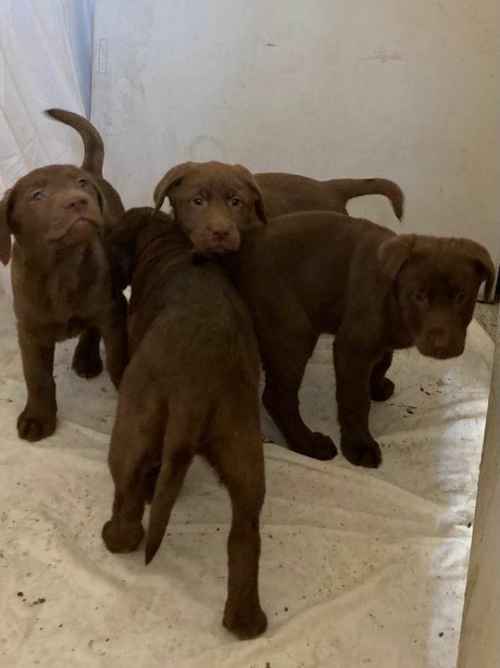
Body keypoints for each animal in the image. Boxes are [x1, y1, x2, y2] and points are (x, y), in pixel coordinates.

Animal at [0, 111, 127, 444]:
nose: (79, 200)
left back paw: (86, 357)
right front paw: (38, 418)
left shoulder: (114, 309)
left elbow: (119, 358)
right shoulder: (29, 331)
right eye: (37, 195)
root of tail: (91, 168)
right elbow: (37, 377)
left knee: (93, 326)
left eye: (81, 184)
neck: (62, 267)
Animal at [99, 204, 268, 636]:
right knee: (245, 533)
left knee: (126, 489)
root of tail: (198, 381)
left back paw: (117, 537)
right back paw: (246, 621)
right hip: (243, 444)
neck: (166, 243)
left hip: (133, 425)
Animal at [225, 214, 494, 470]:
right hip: (292, 333)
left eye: (461, 296)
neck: (395, 302)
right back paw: (309, 444)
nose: (442, 347)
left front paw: (377, 386)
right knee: (278, 397)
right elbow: (355, 400)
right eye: (419, 296)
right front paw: (359, 446)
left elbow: (383, 362)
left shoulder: (381, 342)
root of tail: (245, 243)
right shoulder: (351, 349)